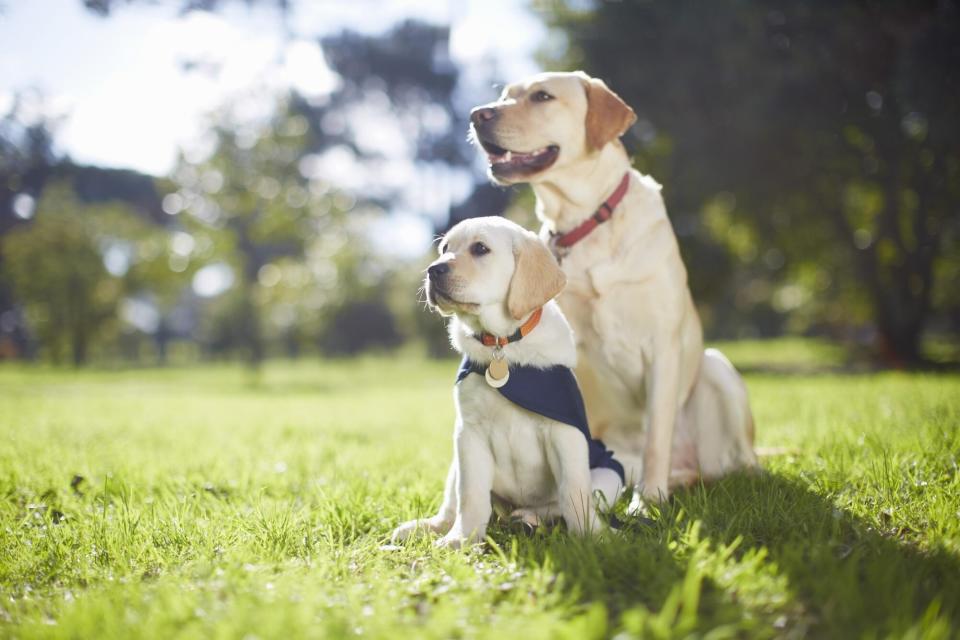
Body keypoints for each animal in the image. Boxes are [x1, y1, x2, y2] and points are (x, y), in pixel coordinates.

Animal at [390, 218, 624, 548]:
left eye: (480, 248)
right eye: (445, 248)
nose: (433, 270)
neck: (502, 344)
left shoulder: (565, 433)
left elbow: (573, 491)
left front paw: (593, 536)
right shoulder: (469, 434)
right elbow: (471, 496)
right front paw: (461, 540)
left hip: (609, 476)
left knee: (557, 505)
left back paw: (529, 517)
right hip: (455, 464)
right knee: (452, 505)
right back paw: (428, 527)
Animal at [470, 70, 756, 500]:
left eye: (542, 96)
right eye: (506, 95)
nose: (477, 115)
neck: (587, 222)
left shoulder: (663, 345)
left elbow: (656, 437)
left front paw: (648, 500)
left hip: (715, 368)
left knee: (742, 462)